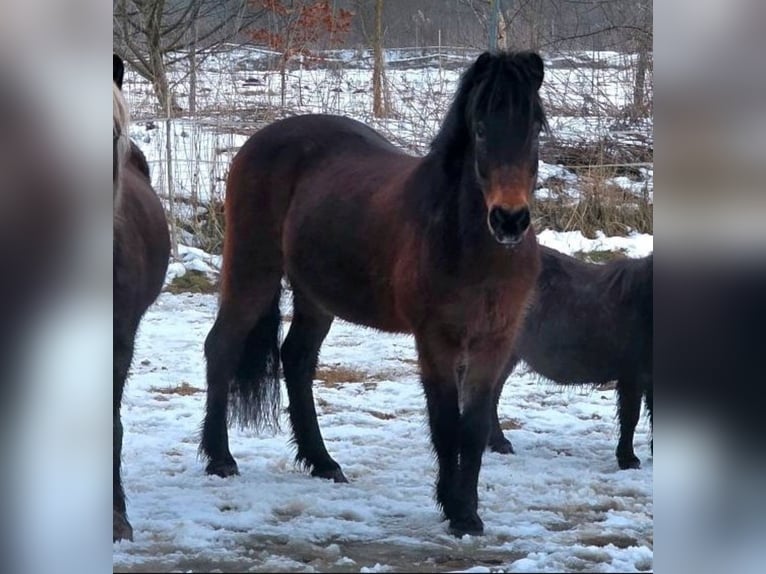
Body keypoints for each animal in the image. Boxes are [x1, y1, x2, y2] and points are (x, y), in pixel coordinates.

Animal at [201, 51, 548, 537]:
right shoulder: (435, 341)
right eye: (480, 128)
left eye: (534, 127)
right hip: (253, 271)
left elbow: (475, 426)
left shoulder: (494, 341)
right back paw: (220, 459)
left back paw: (323, 462)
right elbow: (445, 424)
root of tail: (258, 141)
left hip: (315, 296)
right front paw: (455, 509)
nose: (510, 219)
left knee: (297, 359)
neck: (469, 244)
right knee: (222, 346)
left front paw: (471, 511)